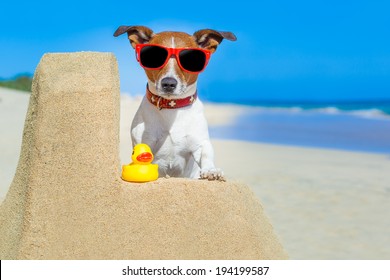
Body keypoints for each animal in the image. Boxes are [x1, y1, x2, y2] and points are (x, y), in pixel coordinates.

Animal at [112, 25, 235, 180]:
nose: (168, 83)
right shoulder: (145, 142)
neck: (172, 108)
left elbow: (206, 154)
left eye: (191, 59)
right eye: (154, 57)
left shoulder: (200, 143)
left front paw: (211, 170)